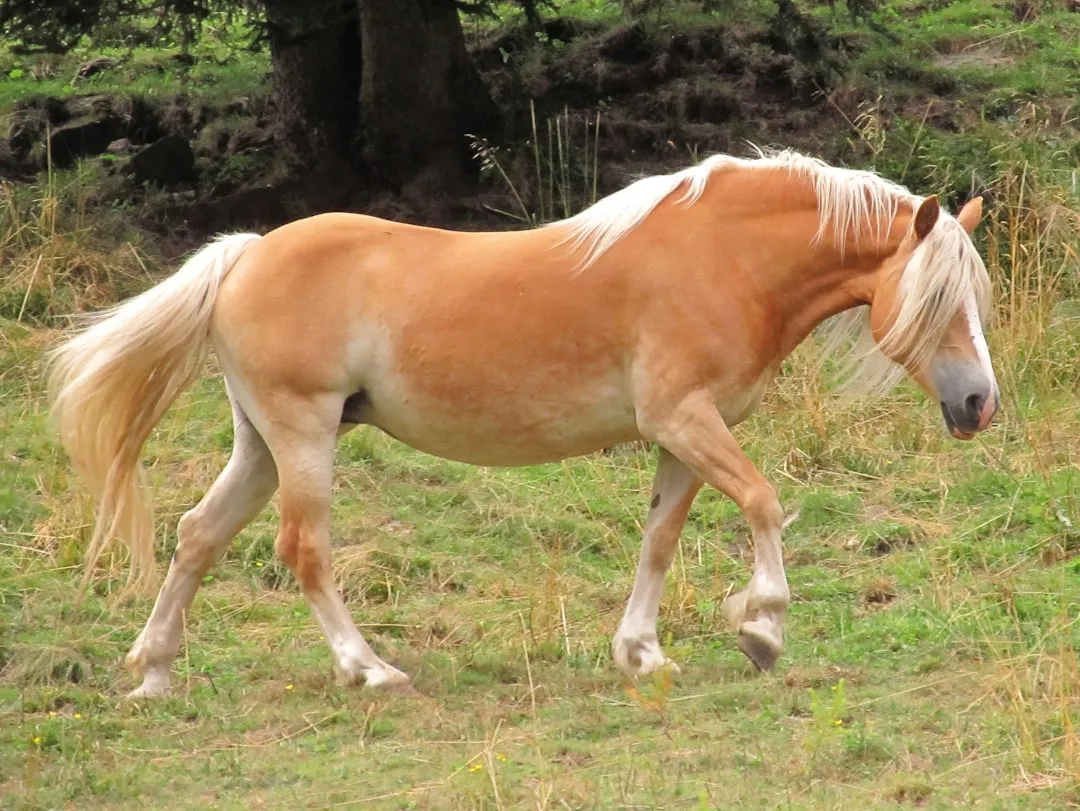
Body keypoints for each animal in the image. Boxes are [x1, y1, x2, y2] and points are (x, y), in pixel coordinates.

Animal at [49, 149, 998, 698]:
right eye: (938, 299)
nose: (979, 404)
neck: (723, 258)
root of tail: (246, 252)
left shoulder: (684, 436)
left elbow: (659, 541)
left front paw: (641, 653)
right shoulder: (685, 418)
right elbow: (764, 503)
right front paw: (761, 628)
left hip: (262, 443)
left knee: (197, 534)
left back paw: (154, 671)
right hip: (303, 434)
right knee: (303, 550)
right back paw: (369, 669)